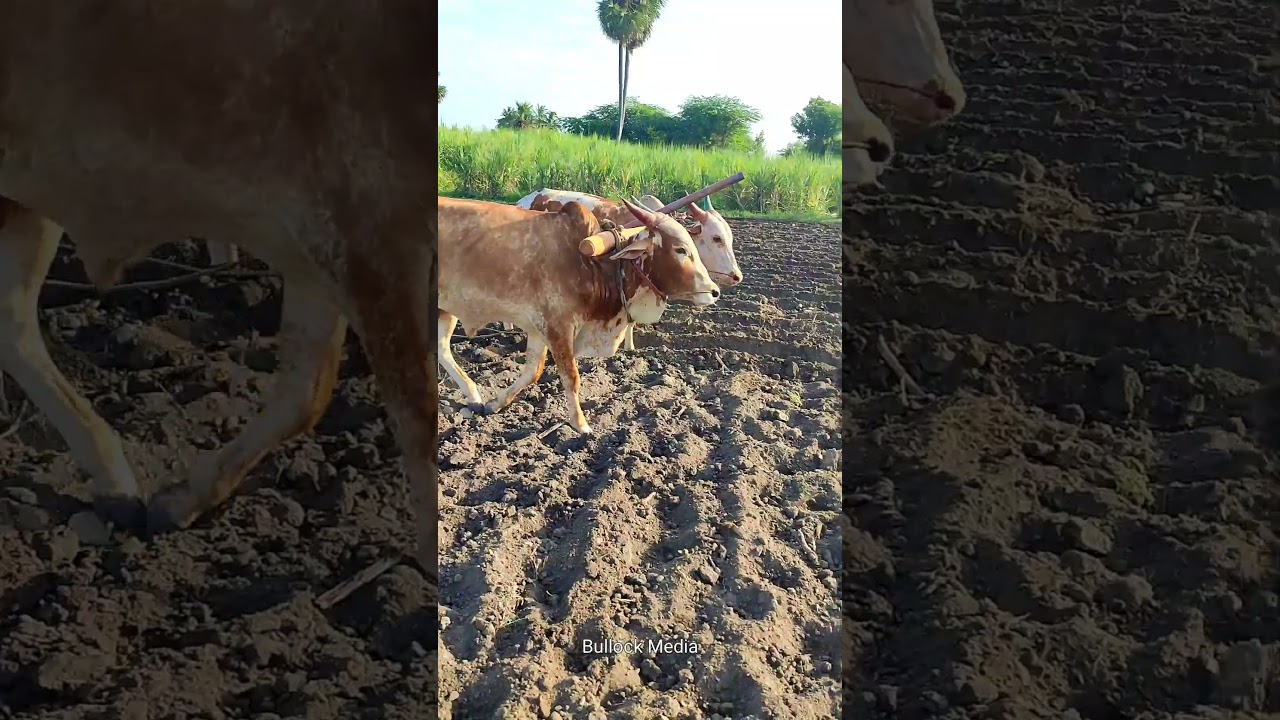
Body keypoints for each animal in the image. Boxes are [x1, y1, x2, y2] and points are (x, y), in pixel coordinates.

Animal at [0, 1, 439, 579]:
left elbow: (306, 391)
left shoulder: (322, 239)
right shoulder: (372, 225)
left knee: (13, 326)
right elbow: (418, 421)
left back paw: (117, 486)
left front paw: (182, 499)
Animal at [438, 197, 720, 435]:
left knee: (442, 350)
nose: (714, 291)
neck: (592, 265)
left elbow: (533, 372)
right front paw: (581, 424)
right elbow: (571, 377)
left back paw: (474, 396)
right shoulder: (558, 327)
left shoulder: (538, 328)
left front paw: (495, 403)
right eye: (681, 250)